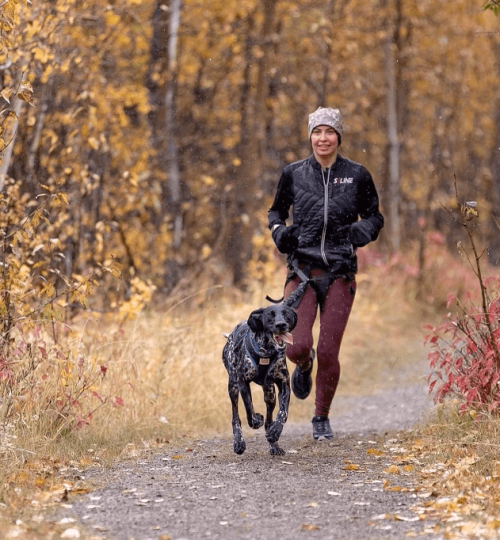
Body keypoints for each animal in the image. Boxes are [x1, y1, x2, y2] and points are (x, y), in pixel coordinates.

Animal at [224, 282, 308, 456]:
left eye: (286, 314)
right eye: (270, 315)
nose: (281, 325)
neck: (266, 351)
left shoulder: (283, 384)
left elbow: (283, 412)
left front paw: (275, 431)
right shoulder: (242, 382)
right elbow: (249, 408)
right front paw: (256, 420)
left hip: (269, 392)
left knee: (270, 417)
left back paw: (273, 443)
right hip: (233, 386)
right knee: (236, 416)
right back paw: (239, 442)